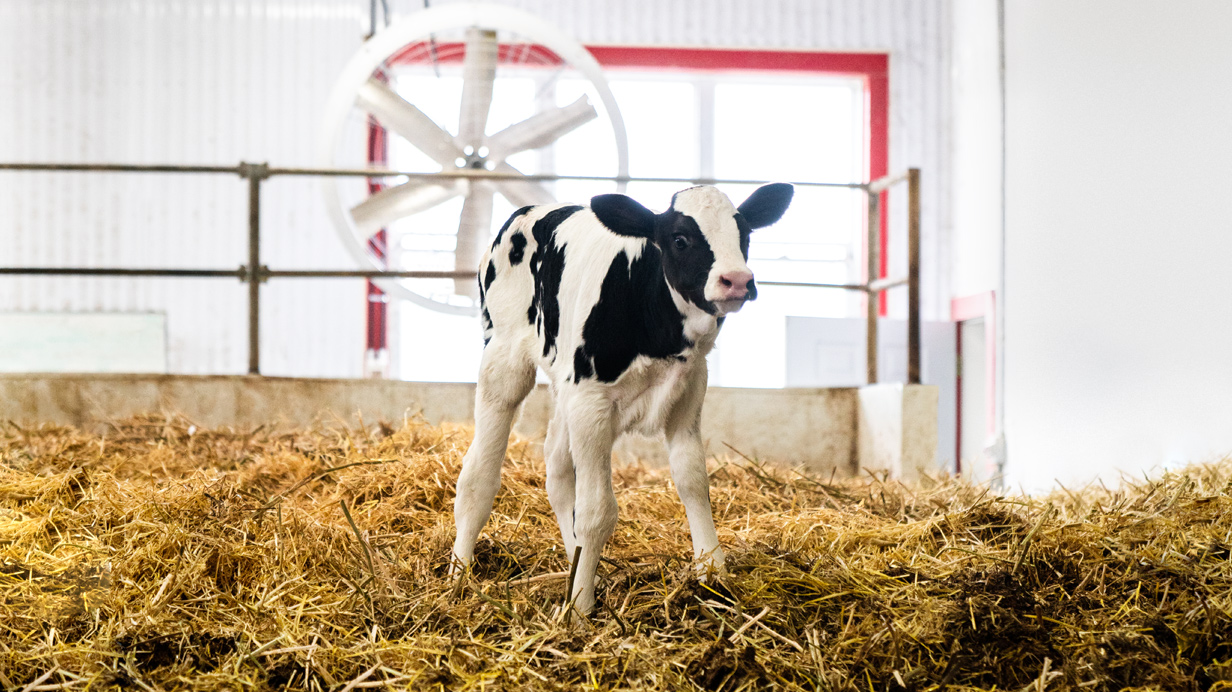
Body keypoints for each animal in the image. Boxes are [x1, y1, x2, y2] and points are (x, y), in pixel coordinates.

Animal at [451, 183, 794, 615]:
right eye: (680, 239)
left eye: (744, 234)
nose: (737, 280)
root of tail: (529, 211)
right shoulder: (592, 403)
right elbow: (597, 511)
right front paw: (580, 609)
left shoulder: (688, 391)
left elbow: (693, 482)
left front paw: (713, 575)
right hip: (505, 361)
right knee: (478, 474)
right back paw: (458, 574)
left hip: (564, 384)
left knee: (557, 470)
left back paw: (574, 562)